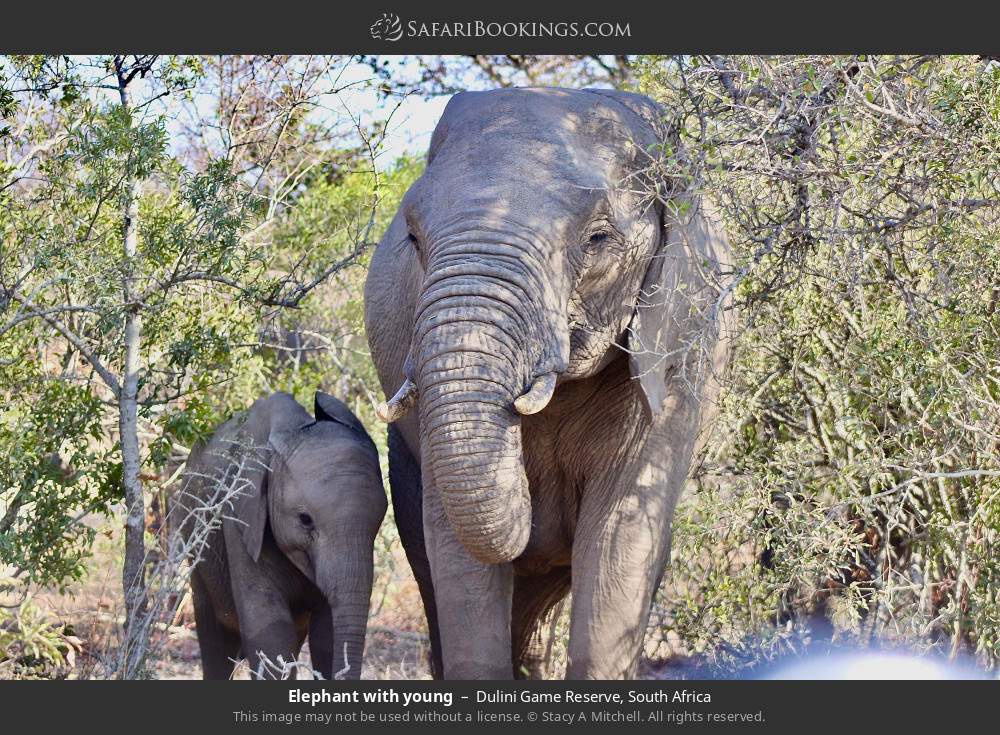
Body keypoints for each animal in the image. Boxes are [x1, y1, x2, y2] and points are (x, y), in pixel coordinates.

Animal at [179, 391, 387, 679]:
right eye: (305, 520)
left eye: (380, 520)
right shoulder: (240, 518)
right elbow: (270, 630)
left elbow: (326, 634)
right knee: (215, 640)